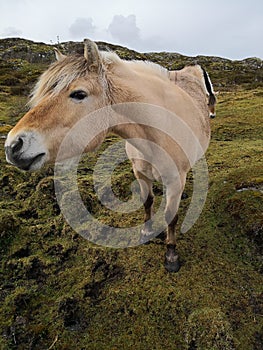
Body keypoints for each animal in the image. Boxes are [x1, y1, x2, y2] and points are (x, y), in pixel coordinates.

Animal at [4, 39, 217, 274]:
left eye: (79, 94)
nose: (13, 146)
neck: (157, 132)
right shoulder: (140, 173)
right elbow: (147, 201)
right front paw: (147, 232)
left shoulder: (175, 180)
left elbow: (171, 215)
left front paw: (171, 254)